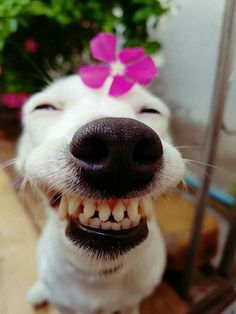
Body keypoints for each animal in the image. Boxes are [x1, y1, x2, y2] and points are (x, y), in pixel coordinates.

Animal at [16, 75, 184, 312]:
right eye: (44, 107)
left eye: (152, 110)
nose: (120, 139)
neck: (97, 272)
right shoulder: (62, 304)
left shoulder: (132, 302)